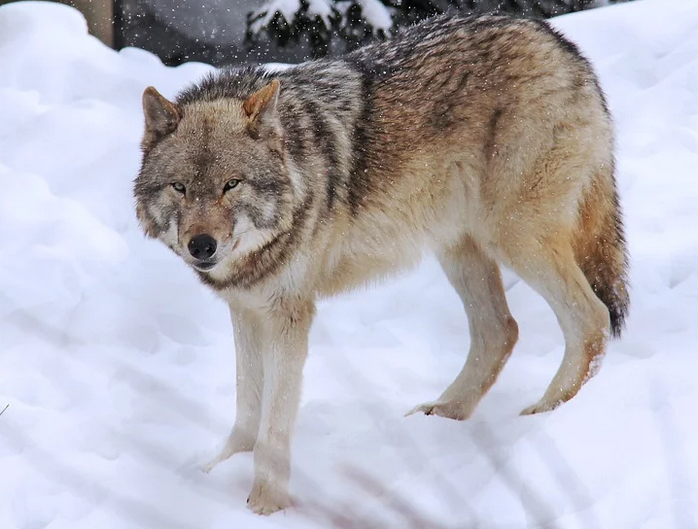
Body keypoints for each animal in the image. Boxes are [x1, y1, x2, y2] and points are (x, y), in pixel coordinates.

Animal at [134, 13, 629, 515]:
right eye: (180, 187)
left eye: (231, 185)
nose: (202, 246)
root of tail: (560, 43)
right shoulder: (246, 310)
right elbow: (247, 406)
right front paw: (222, 472)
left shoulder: (289, 315)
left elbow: (274, 419)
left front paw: (265, 506)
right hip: (458, 246)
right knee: (501, 331)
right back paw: (443, 414)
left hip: (514, 238)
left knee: (591, 319)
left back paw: (544, 417)